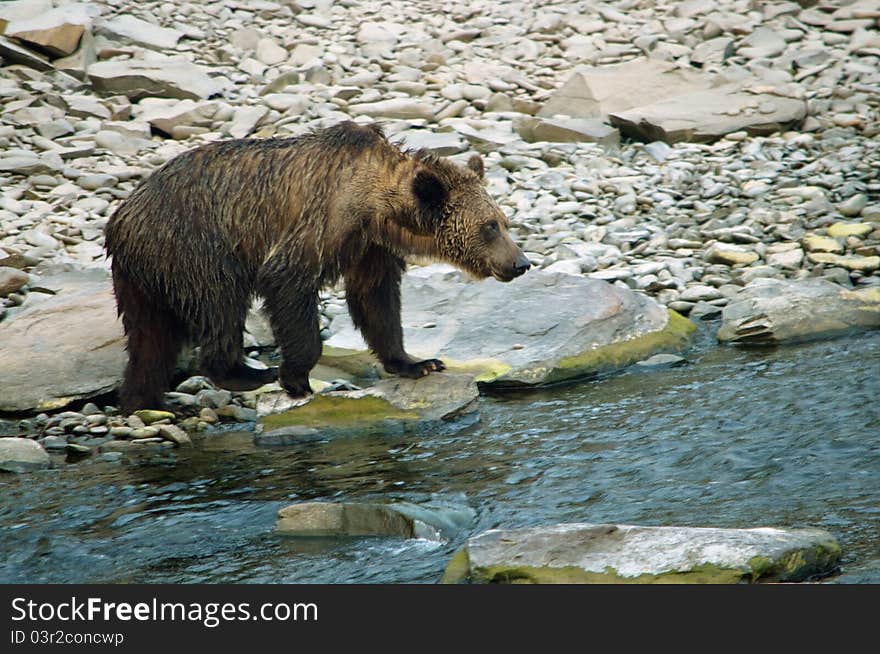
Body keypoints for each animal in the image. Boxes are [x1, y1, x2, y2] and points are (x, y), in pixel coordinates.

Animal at [103, 120, 528, 412]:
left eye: (504, 222)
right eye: (490, 226)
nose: (520, 263)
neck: (376, 204)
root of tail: (120, 219)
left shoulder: (368, 247)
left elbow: (377, 301)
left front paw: (418, 362)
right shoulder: (322, 222)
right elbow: (288, 283)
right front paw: (296, 378)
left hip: (140, 277)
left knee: (149, 340)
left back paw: (143, 400)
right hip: (196, 246)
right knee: (219, 306)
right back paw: (246, 372)